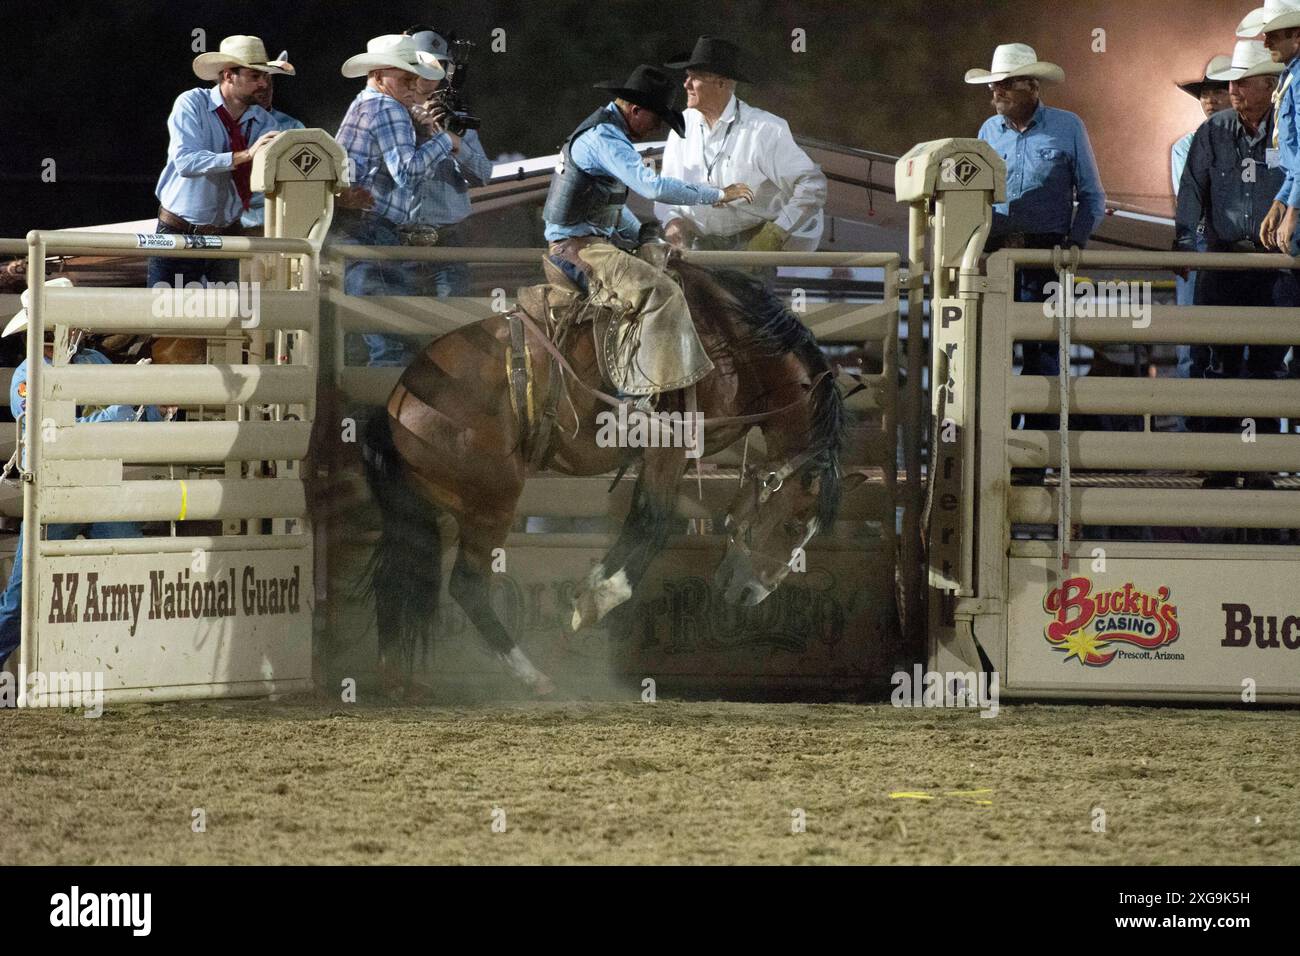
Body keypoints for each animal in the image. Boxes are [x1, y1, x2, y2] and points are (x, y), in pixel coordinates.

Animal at [361, 261, 847, 697]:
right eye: (794, 525)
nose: (750, 593)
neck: (731, 346)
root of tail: (399, 399)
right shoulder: (668, 446)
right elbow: (652, 526)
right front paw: (595, 601)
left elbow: (641, 523)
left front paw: (591, 591)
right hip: (491, 503)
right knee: (467, 584)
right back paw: (532, 677)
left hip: (435, 508)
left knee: (398, 575)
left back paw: (393, 677)